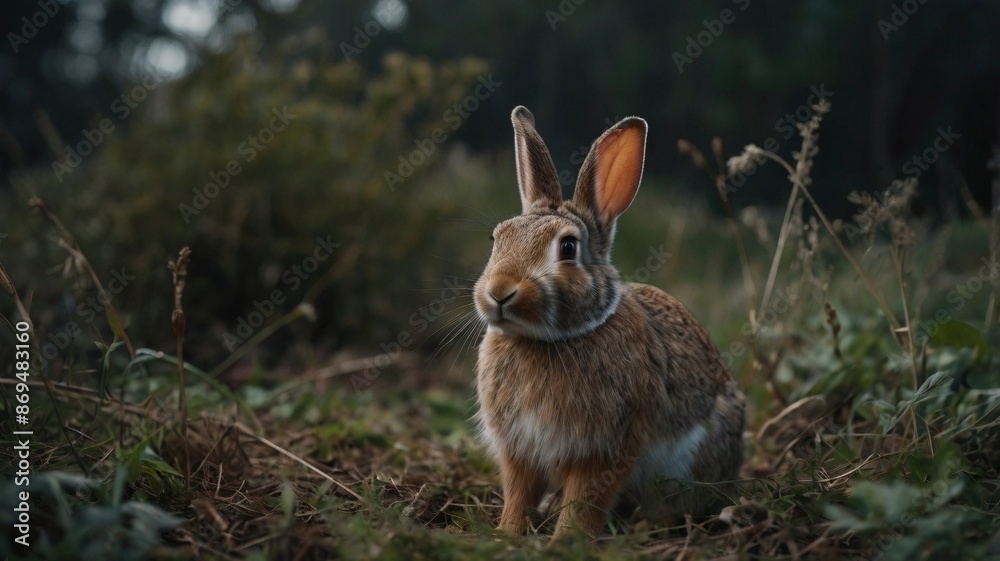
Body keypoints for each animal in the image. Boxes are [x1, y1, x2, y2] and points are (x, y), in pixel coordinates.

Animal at [474, 106, 745, 541]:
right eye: (497, 238)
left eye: (568, 247)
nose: (499, 292)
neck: (549, 339)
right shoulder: (519, 449)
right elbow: (519, 491)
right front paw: (508, 532)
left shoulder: (606, 448)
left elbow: (586, 498)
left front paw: (566, 539)